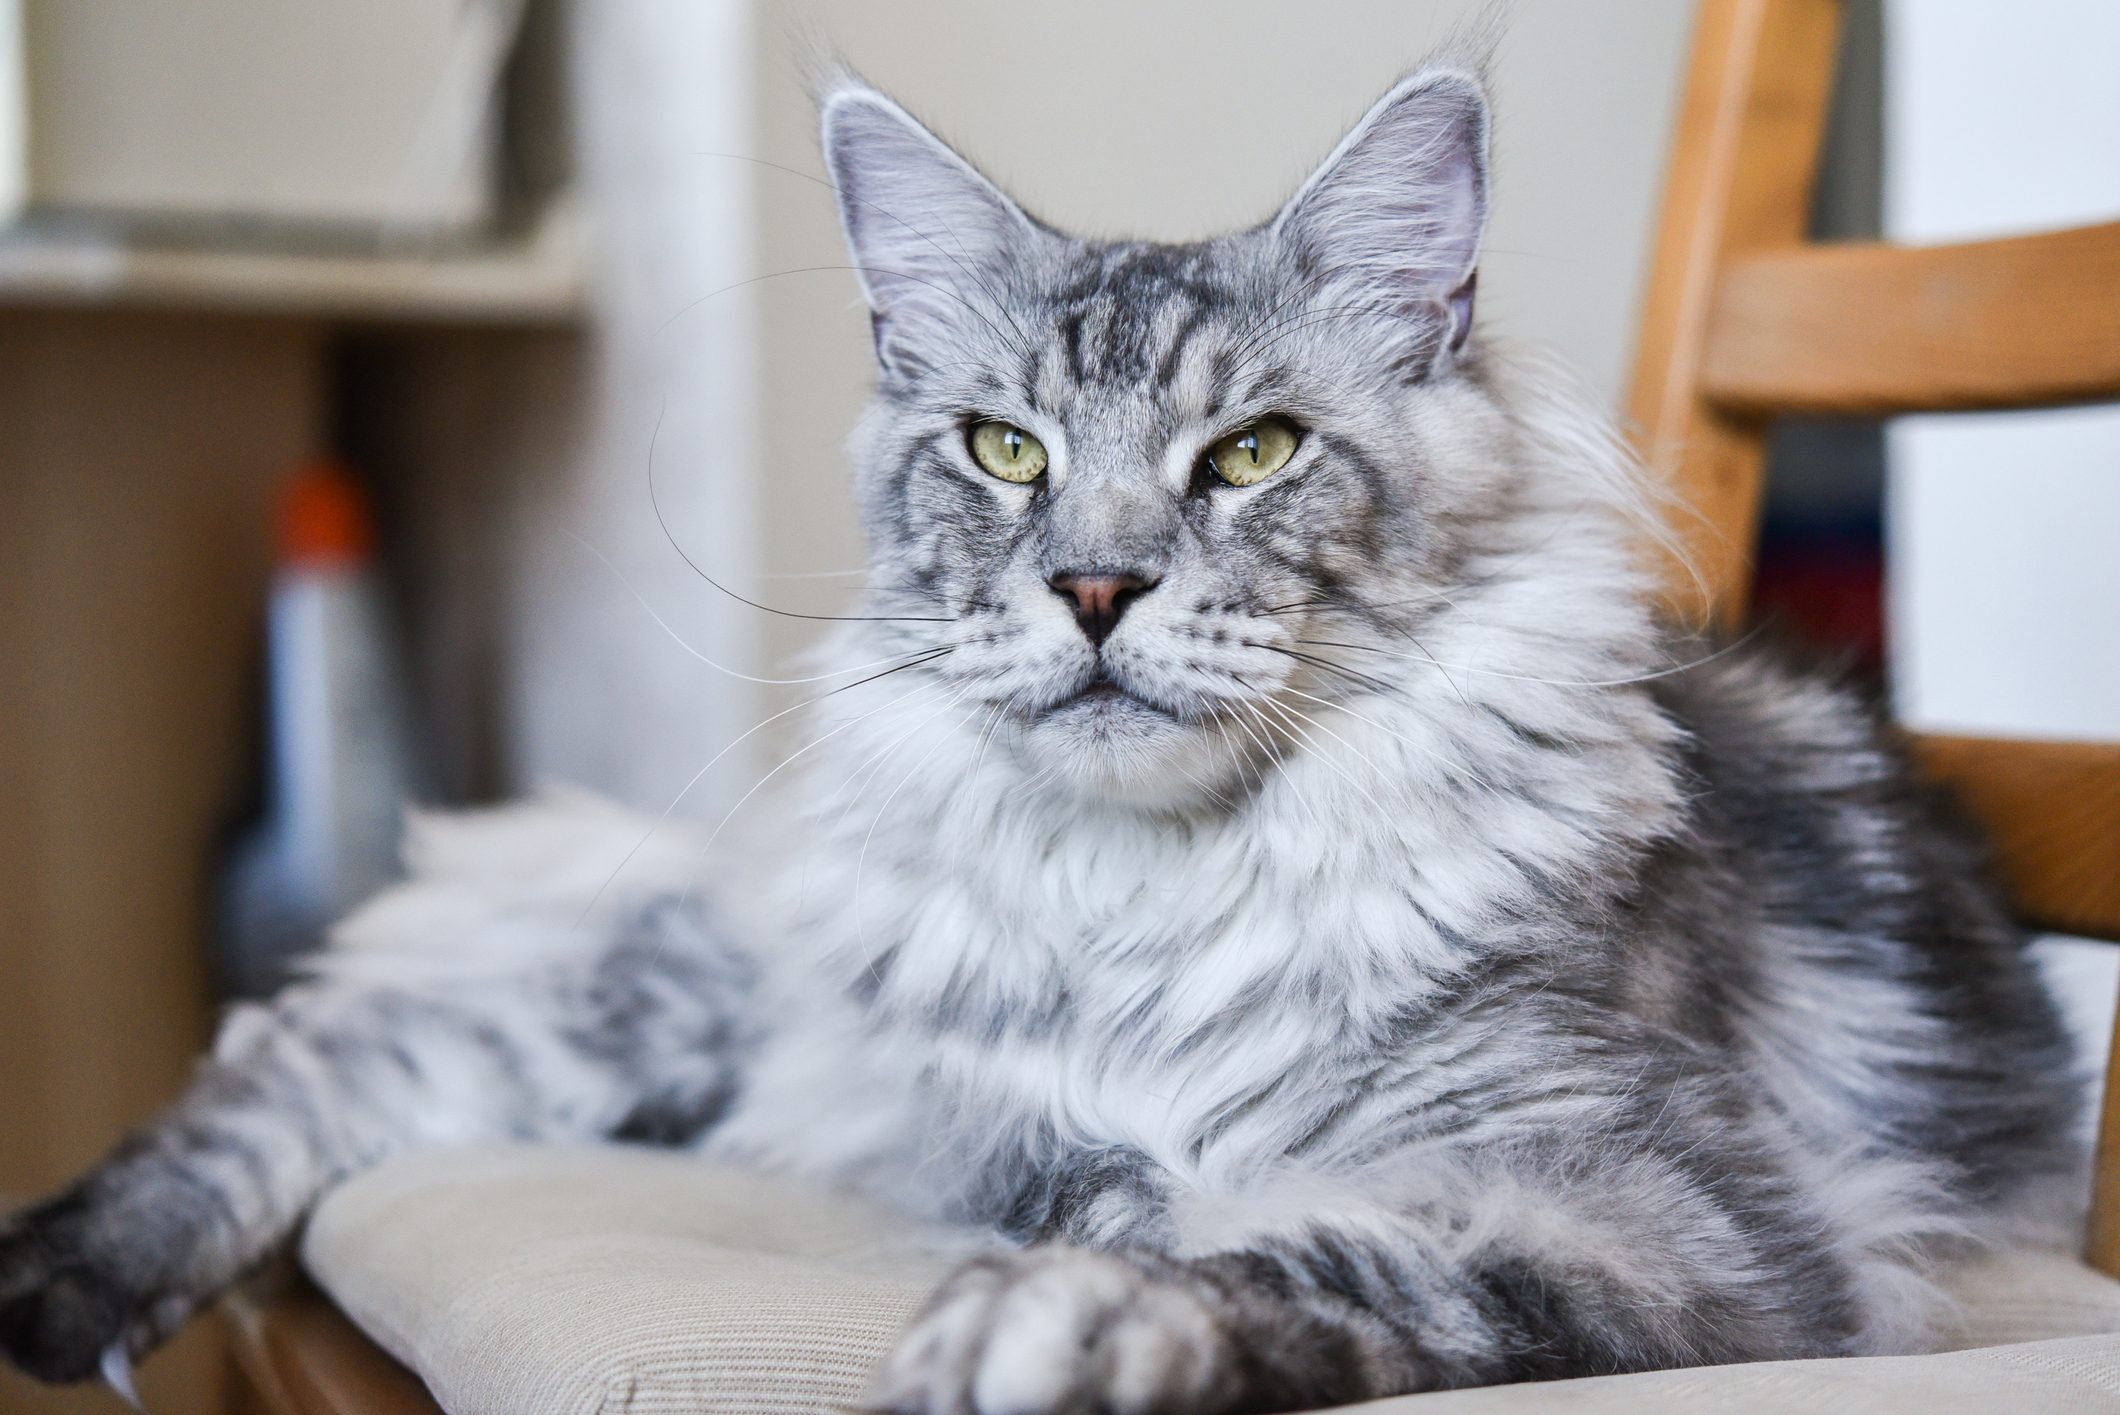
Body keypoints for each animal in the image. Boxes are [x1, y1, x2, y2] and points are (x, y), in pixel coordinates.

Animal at [4, 55, 2086, 1408]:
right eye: (1006, 450)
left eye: (1252, 452)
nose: (1094, 588)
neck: (1150, 908)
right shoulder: (1001, 1126)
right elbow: (1114, 1194)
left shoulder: (1656, 1218)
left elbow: (1311, 1246)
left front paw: (1062, 1329)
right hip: (704, 1005)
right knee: (323, 1049)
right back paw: (55, 1273)